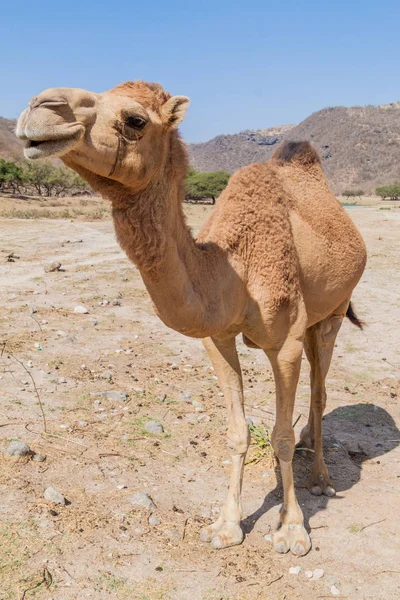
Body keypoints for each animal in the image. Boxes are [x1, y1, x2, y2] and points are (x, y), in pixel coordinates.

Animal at [14, 82, 366, 556]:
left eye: (135, 120)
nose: (41, 107)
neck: (235, 269)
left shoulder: (286, 342)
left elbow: (281, 438)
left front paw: (292, 530)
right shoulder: (216, 338)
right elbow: (237, 432)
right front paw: (226, 526)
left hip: (333, 311)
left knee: (320, 390)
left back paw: (322, 480)